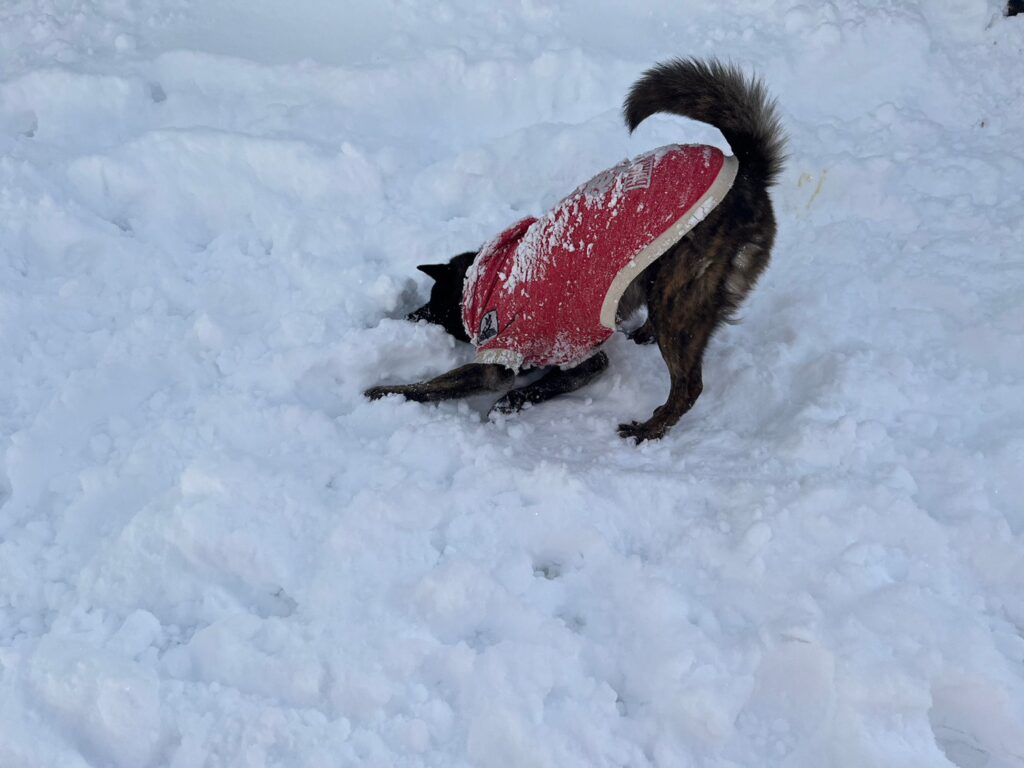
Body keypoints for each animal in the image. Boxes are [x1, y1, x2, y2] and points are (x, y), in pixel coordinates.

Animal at [366, 58, 786, 443]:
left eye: (437, 307)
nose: (412, 316)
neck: (492, 277)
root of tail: (747, 173)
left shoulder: (540, 358)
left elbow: (441, 385)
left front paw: (387, 392)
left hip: (679, 293)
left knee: (688, 387)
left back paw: (648, 429)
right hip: (666, 286)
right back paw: (643, 334)